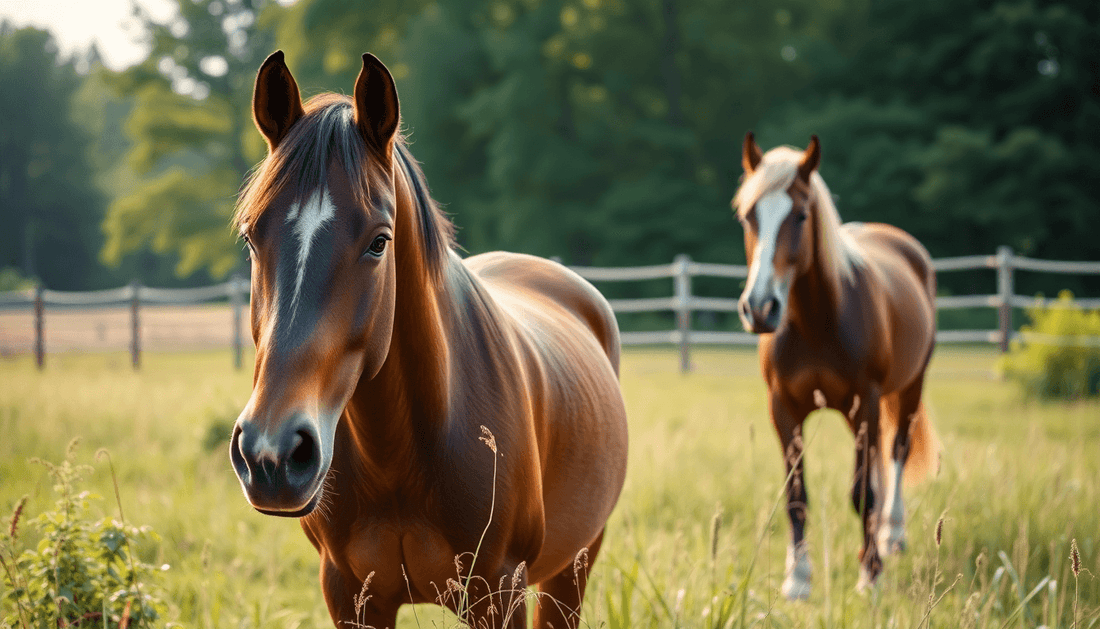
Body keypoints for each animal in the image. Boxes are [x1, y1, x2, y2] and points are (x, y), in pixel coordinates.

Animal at [229, 51, 629, 628]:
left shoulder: (499, 592)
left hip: (572, 567)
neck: (401, 453)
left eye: (379, 242)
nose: (272, 454)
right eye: (251, 236)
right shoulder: (350, 594)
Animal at [733, 133, 941, 599]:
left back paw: (891, 534)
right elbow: (796, 495)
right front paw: (797, 578)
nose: (760, 308)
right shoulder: (784, 409)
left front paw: (871, 575)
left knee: (896, 453)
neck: (816, 323)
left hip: (909, 388)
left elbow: (862, 492)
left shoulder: (866, 401)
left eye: (801, 214)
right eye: (748, 216)